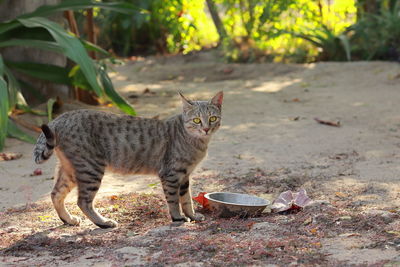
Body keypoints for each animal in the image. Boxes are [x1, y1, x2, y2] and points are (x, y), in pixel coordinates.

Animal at [32, 91, 223, 228]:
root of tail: (60, 118)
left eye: (212, 118)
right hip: (91, 169)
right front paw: (177, 218)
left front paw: (192, 216)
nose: (206, 129)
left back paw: (69, 220)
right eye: (197, 120)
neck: (196, 143)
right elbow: (174, 200)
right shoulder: (171, 174)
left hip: (71, 170)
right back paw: (103, 222)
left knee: (56, 194)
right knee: (83, 201)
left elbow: (186, 199)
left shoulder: (184, 176)